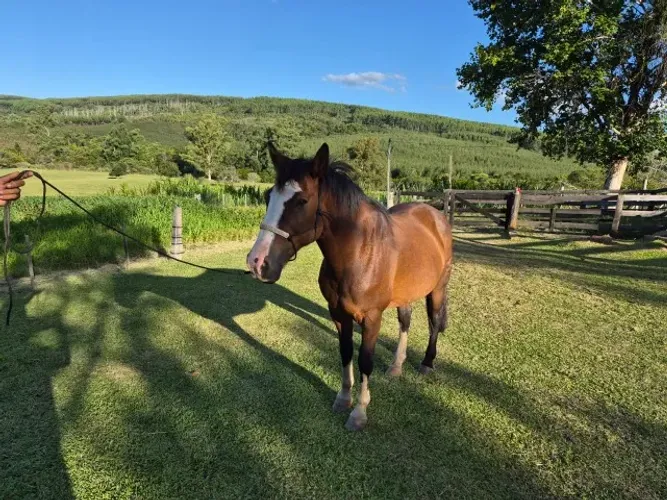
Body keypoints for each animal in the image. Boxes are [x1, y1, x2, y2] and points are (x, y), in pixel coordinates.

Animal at [246, 142, 453, 431]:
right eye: (268, 197)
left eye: (302, 201)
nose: (257, 262)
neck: (358, 252)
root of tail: (435, 215)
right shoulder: (338, 313)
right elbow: (345, 354)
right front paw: (343, 399)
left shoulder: (371, 318)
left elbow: (365, 360)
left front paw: (359, 413)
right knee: (405, 321)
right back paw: (396, 366)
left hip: (438, 288)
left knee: (434, 321)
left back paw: (426, 363)